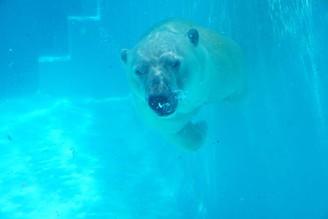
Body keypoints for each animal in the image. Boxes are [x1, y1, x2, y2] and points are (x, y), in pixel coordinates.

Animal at [121, 19, 246, 151]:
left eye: (175, 63)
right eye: (138, 71)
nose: (159, 97)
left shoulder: (224, 70)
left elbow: (239, 91)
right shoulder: (157, 117)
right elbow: (178, 132)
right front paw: (203, 126)